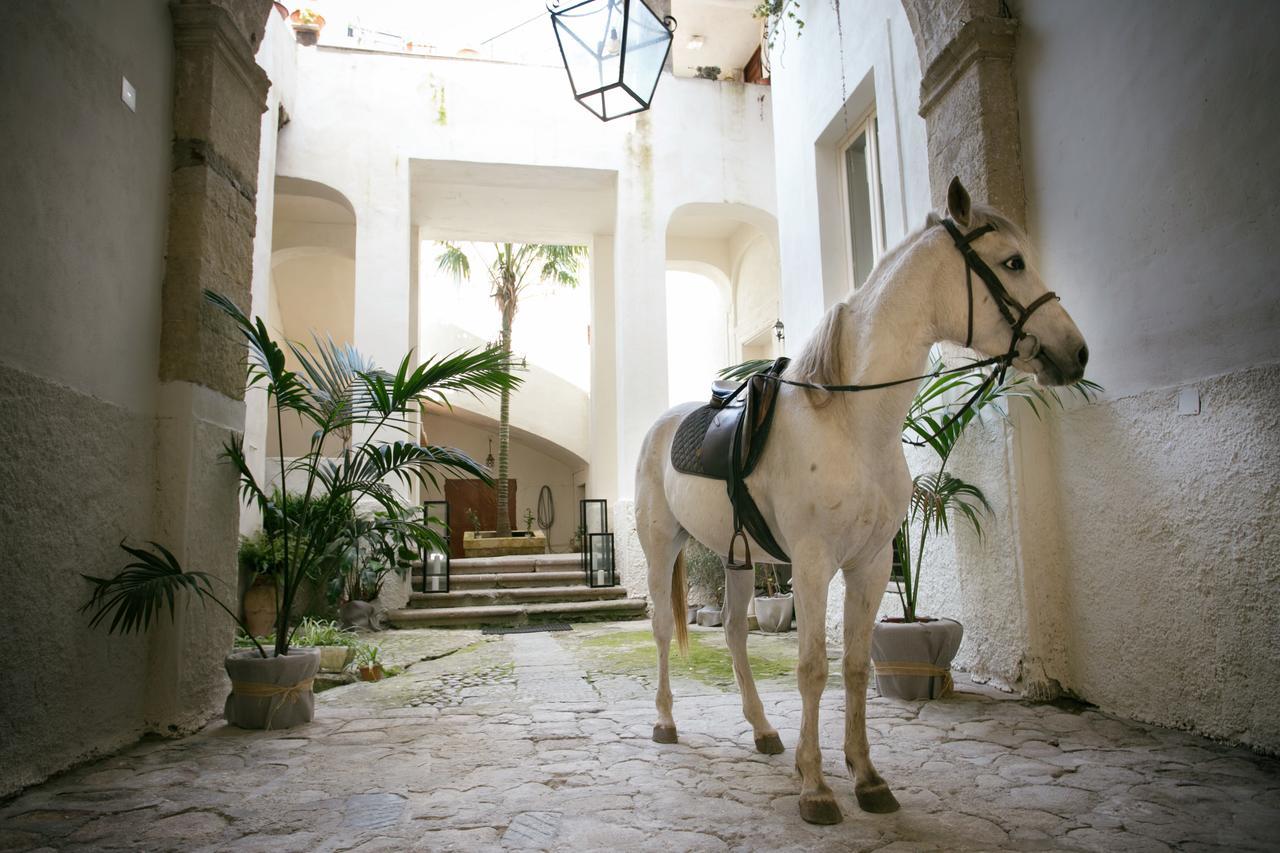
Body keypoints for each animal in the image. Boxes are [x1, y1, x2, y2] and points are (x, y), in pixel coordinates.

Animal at [634, 179, 1085, 824]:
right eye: (1013, 263)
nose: (1077, 353)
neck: (852, 420)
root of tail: (662, 425)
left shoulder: (869, 565)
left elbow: (852, 667)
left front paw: (866, 777)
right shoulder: (813, 565)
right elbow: (812, 669)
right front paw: (816, 787)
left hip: (735, 559)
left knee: (737, 637)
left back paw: (763, 731)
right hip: (661, 546)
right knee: (662, 630)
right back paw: (666, 722)